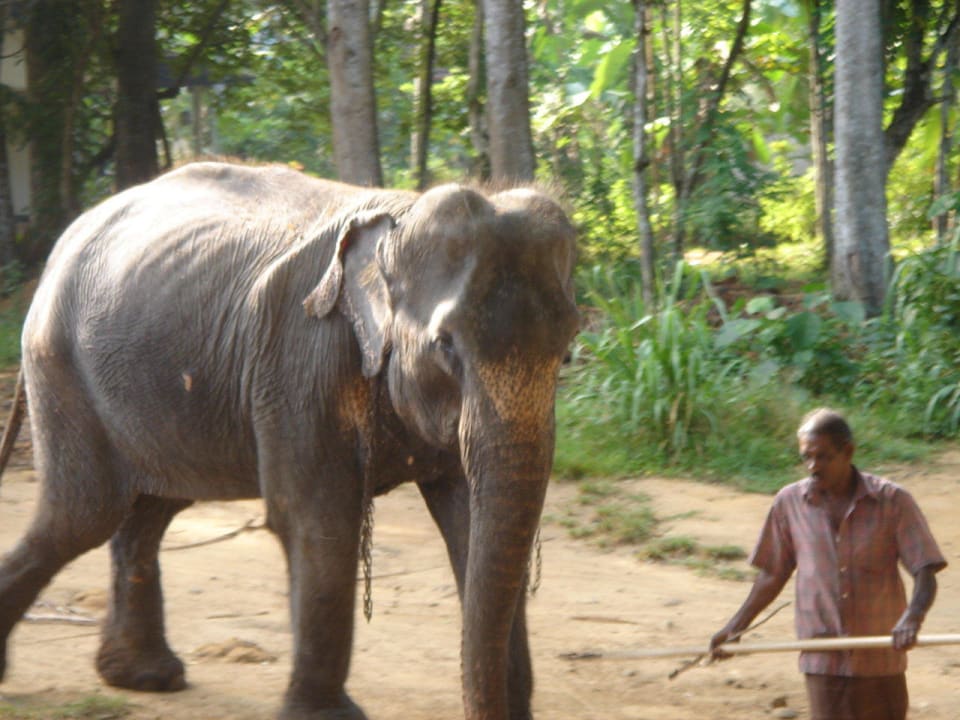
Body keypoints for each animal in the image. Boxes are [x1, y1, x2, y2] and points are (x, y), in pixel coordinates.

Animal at [0, 161, 579, 719]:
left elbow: (467, 524)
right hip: (62, 367)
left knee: (151, 509)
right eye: (445, 345)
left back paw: (144, 677)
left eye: (569, 348)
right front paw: (326, 716)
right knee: (84, 514)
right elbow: (317, 521)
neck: (399, 219)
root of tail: (62, 245)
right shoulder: (300, 359)